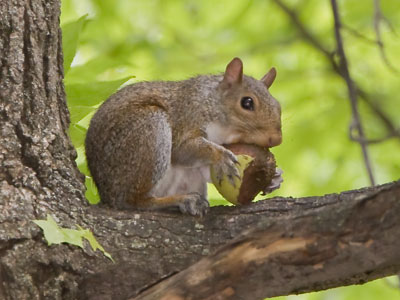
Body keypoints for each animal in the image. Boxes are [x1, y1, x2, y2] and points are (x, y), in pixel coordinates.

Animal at [86, 56, 282, 216]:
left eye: (278, 105)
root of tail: (106, 195)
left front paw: (274, 178)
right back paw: (180, 200)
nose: (276, 139)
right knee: (132, 201)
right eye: (247, 102)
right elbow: (182, 150)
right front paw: (221, 155)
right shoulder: (187, 116)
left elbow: (207, 171)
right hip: (148, 130)